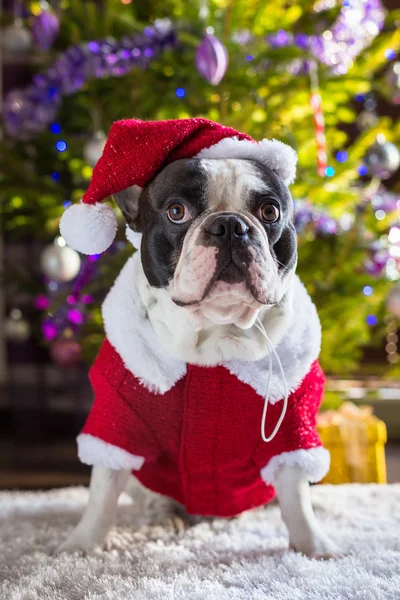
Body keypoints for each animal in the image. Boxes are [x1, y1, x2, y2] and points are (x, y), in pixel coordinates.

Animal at [57, 158, 340, 556]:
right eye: (177, 211)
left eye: (270, 212)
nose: (231, 226)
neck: (215, 334)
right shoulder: (117, 421)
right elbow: (102, 492)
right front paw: (81, 545)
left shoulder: (291, 428)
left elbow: (297, 496)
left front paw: (314, 546)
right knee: (148, 494)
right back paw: (164, 516)